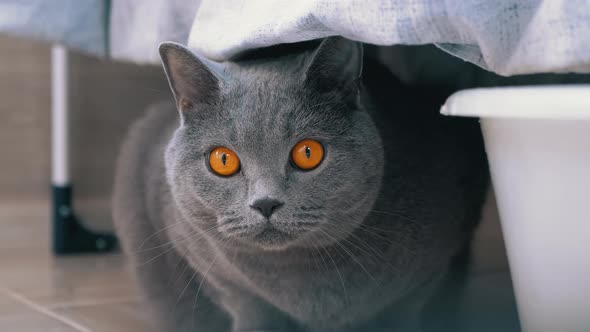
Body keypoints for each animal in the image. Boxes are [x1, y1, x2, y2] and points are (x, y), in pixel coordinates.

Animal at [114, 37, 490, 330]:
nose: (265, 203)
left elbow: (404, 312)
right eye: (223, 160)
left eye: (308, 153)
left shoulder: (429, 270)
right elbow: (250, 310)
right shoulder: (212, 267)